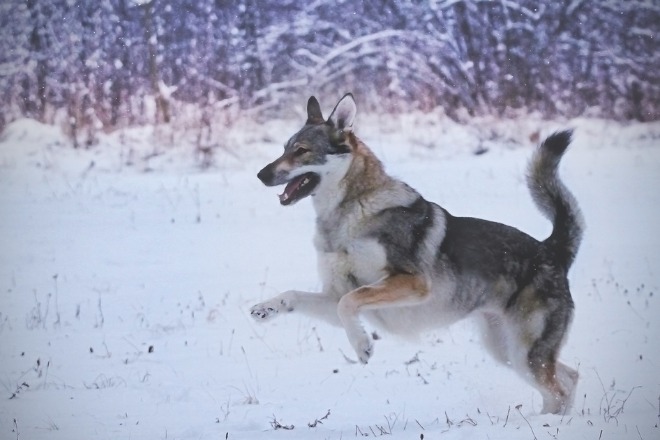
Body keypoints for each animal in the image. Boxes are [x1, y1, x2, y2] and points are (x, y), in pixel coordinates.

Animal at [250, 94, 584, 414]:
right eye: (284, 148)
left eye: (302, 150)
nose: (260, 174)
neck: (347, 215)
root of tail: (552, 249)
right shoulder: (335, 296)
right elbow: (296, 296)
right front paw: (266, 309)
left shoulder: (411, 284)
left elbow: (350, 303)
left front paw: (362, 346)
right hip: (508, 352)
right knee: (569, 378)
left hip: (525, 353)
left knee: (558, 389)